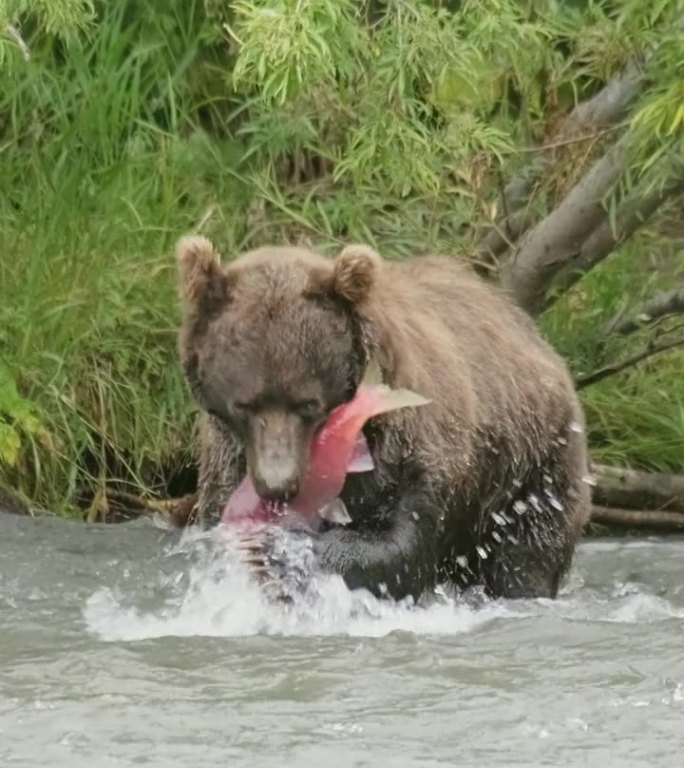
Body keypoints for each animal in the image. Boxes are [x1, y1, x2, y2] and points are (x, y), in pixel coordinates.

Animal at [176, 234, 592, 600]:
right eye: (244, 404)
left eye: (308, 403)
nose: (278, 485)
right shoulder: (229, 457)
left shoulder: (410, 444)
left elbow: (402, 538)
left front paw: (293, 551)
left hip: (531, 463)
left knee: (524, 553)